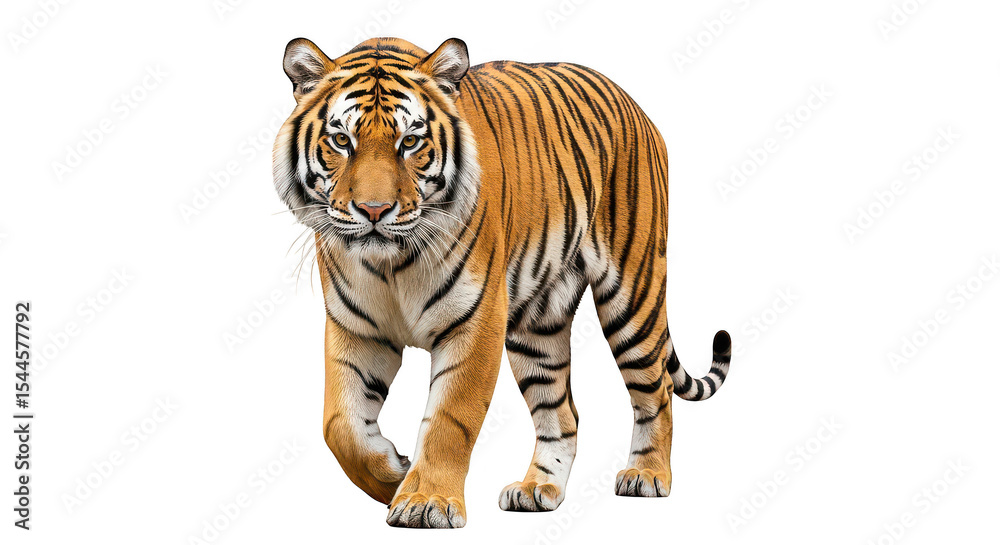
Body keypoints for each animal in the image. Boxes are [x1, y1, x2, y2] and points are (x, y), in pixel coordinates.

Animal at [272, 36, 732, 528]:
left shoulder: (475, 322)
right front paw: (393, 474)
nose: (374, 211)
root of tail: (636, 106)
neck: (391, 264)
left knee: (656, 391)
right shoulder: (356, 329)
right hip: (537, 327)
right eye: (342, 140)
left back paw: (646, 475)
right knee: (562, 413)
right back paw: (537, 489)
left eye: (410, 142)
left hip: (632, 294)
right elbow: (339, 424)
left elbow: (450, 418)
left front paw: (426, 500)